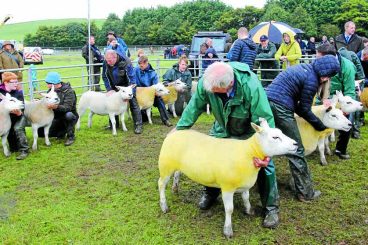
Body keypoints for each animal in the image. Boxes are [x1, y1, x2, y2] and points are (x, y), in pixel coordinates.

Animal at [157, 117, 298, 238]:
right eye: (275, 137)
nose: (296, 144)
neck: (249, 152)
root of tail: (174, 132)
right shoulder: (227, 187)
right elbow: (229, 209)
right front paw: (228, 230)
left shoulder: (245, 184)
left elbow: (246, 198)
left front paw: (249, 210)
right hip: (165, 166)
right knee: (161, 184)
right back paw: (164, 206)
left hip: (176, 165)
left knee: (177, 174)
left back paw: (175, 189)